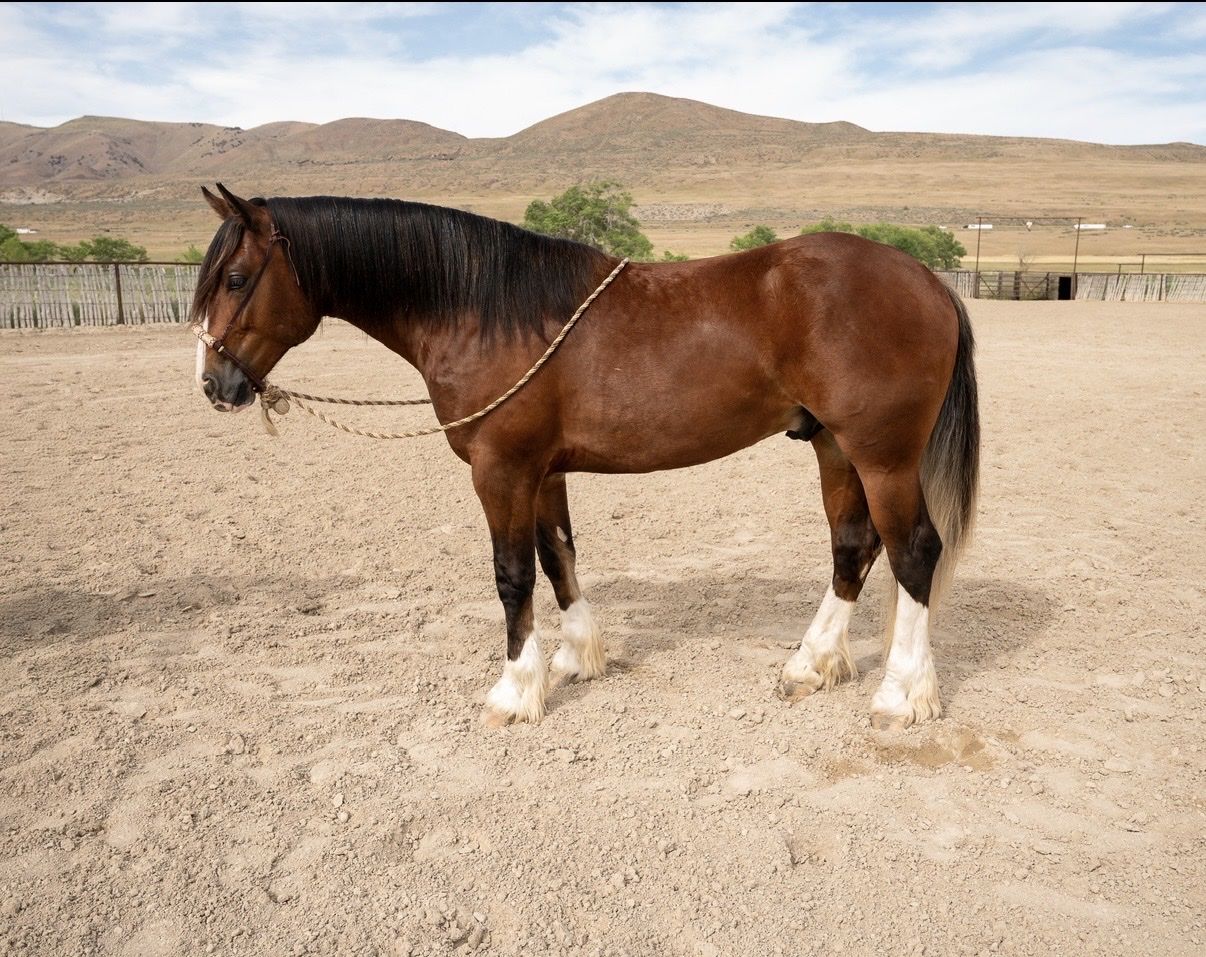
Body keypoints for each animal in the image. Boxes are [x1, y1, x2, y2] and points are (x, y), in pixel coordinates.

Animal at [192, 183, 979, 731]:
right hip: (833, 447)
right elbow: (558, 556)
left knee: (913, 552)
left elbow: (512, 576)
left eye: (235, 279)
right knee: (853, 547)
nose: (214, 384)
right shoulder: (542, 472)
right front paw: (573, 658)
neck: (484, 312)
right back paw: (810, 665)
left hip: (881, 456)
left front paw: (515, 690)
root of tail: (928, 280)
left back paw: (902, 695)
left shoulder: (501, 470)